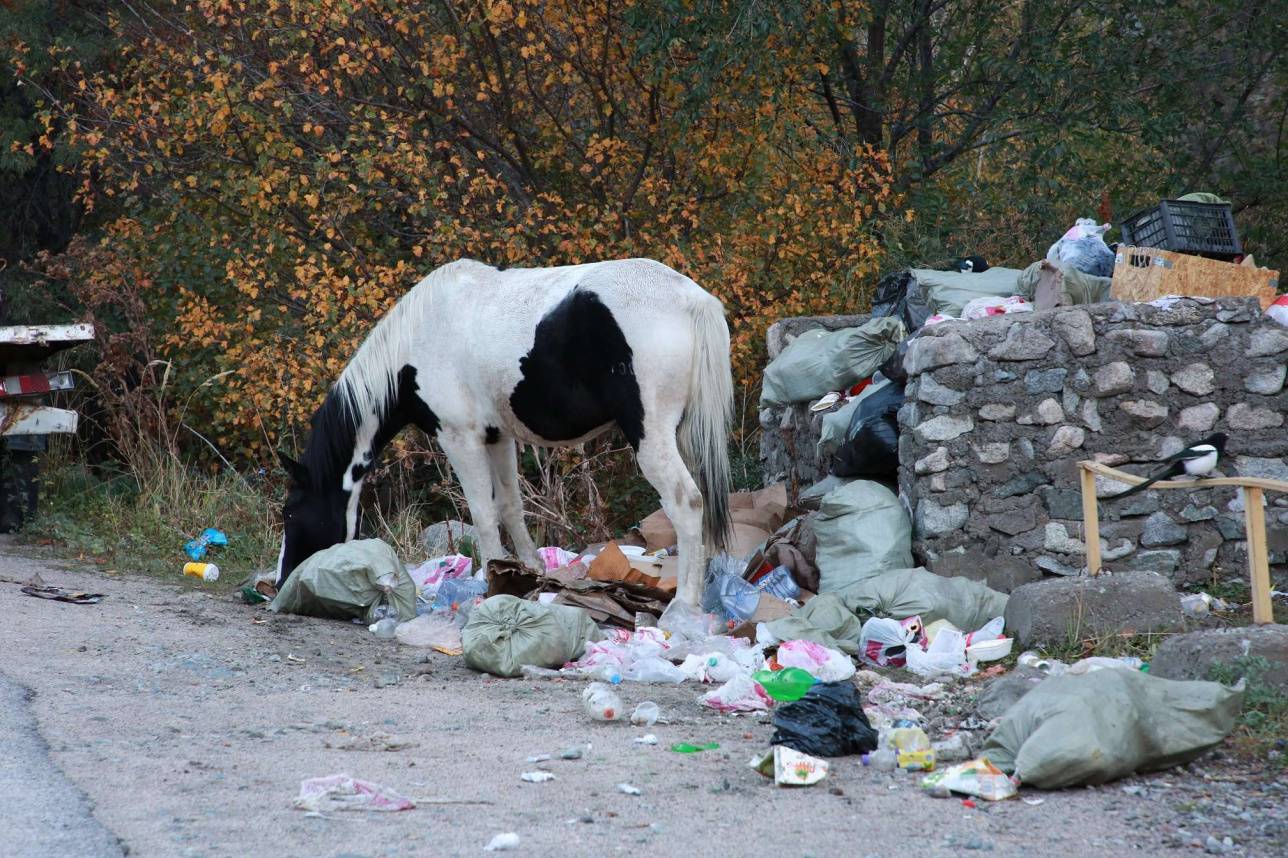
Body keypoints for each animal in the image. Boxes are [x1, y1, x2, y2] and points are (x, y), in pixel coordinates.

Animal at [271, 253, 736, 600]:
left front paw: (487, 580)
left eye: (290, 511)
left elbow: (482, 512)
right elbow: (511, 507)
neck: (419, 338)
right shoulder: (498, 436)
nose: (282, 579)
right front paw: (526, 571)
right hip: (684, 436)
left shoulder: (460, 437)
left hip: (651, 436)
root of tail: (691, 299)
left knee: (687, 504)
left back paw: (684, 606)